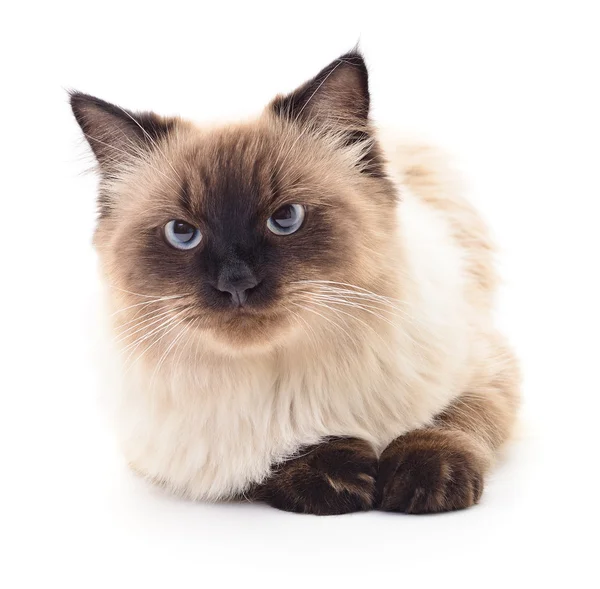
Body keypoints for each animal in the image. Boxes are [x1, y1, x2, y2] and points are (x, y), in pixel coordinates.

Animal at [69, 51, 520, 516]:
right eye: (182, 233)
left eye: (285, 218)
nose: (236, 283)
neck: (280, 374)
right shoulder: (185, 456)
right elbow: (272, 460)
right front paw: (341, 478)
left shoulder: (487, 371)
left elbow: (448, 423)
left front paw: (420, 483)